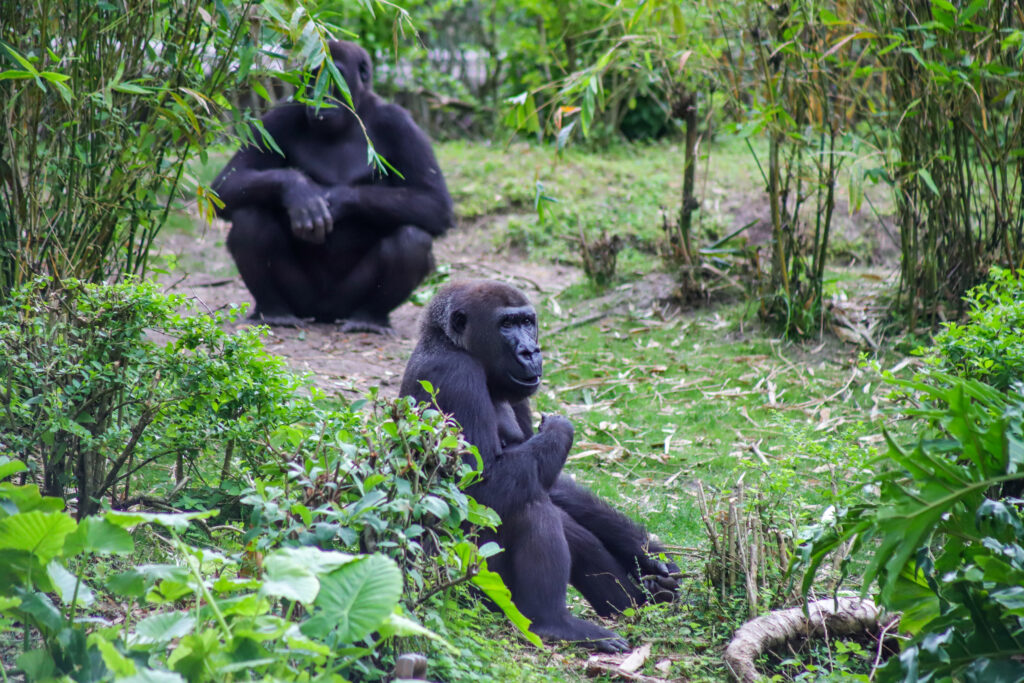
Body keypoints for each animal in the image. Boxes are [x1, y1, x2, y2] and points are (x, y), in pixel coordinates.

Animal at [211, 40, 452, 333]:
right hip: (302, 300)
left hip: (345, 302)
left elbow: (434, 201)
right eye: (311, 77)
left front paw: (335, 199)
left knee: (412, 238)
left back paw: (369, 318)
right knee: (251, 218)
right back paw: (274, 311)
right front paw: (301, 192)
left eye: (333, 79)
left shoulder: (399, 122)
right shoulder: (281, 115)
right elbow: (226, 184)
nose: (319, 98)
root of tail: (324, 314)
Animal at [399, 280, 679, 655]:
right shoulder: (455, 374)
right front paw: (561, 428)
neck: (448, 342)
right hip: (457, 585)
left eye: (527, 321)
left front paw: (645, 552)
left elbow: (552, 482)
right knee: (530, 507)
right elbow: (480, 488)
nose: (531, 351)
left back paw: (640, 602)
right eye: (506, 324)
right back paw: (555, 623)